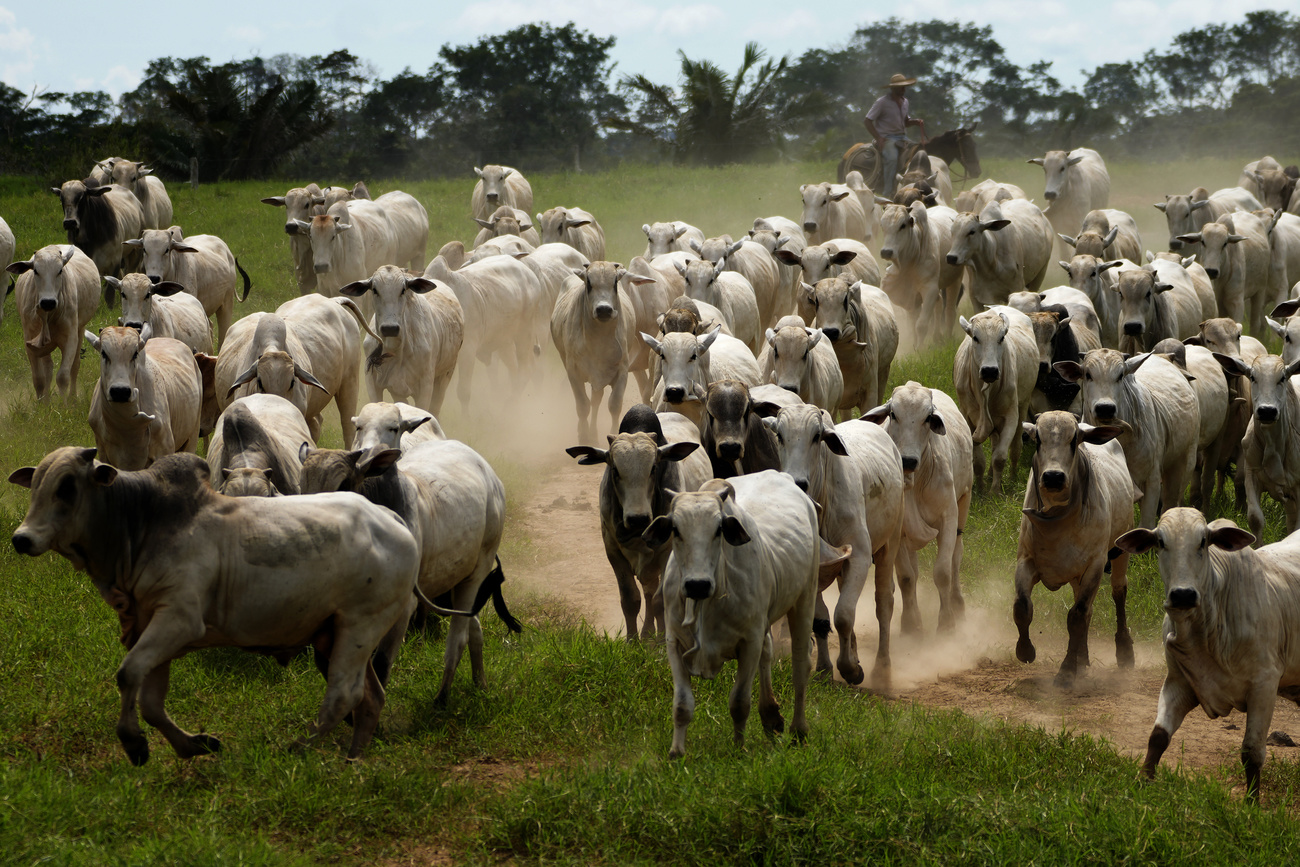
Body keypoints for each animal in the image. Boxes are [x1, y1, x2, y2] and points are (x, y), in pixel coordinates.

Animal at [1008, 410, 1133, 686]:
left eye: (1074, 439)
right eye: (1037, 438)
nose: (1053, 477)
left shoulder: (1095, 565)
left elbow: (1075, 618)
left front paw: (1066, 671)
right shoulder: (1027, 560)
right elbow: (1022, 606)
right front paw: (1025, 650)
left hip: (1120, 551)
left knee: (1117, 593)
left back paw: (1124, 651)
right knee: (1086, 610)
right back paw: (1082, 659)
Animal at [1112, 509, 1300, 800]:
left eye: (1203, 542)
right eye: (1161, 542)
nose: (1183, 595)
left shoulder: (1264, 686)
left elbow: (1252, 753)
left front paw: (1252, 804)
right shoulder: (1178, 681)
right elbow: (1158, 736)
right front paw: (1142, 782)